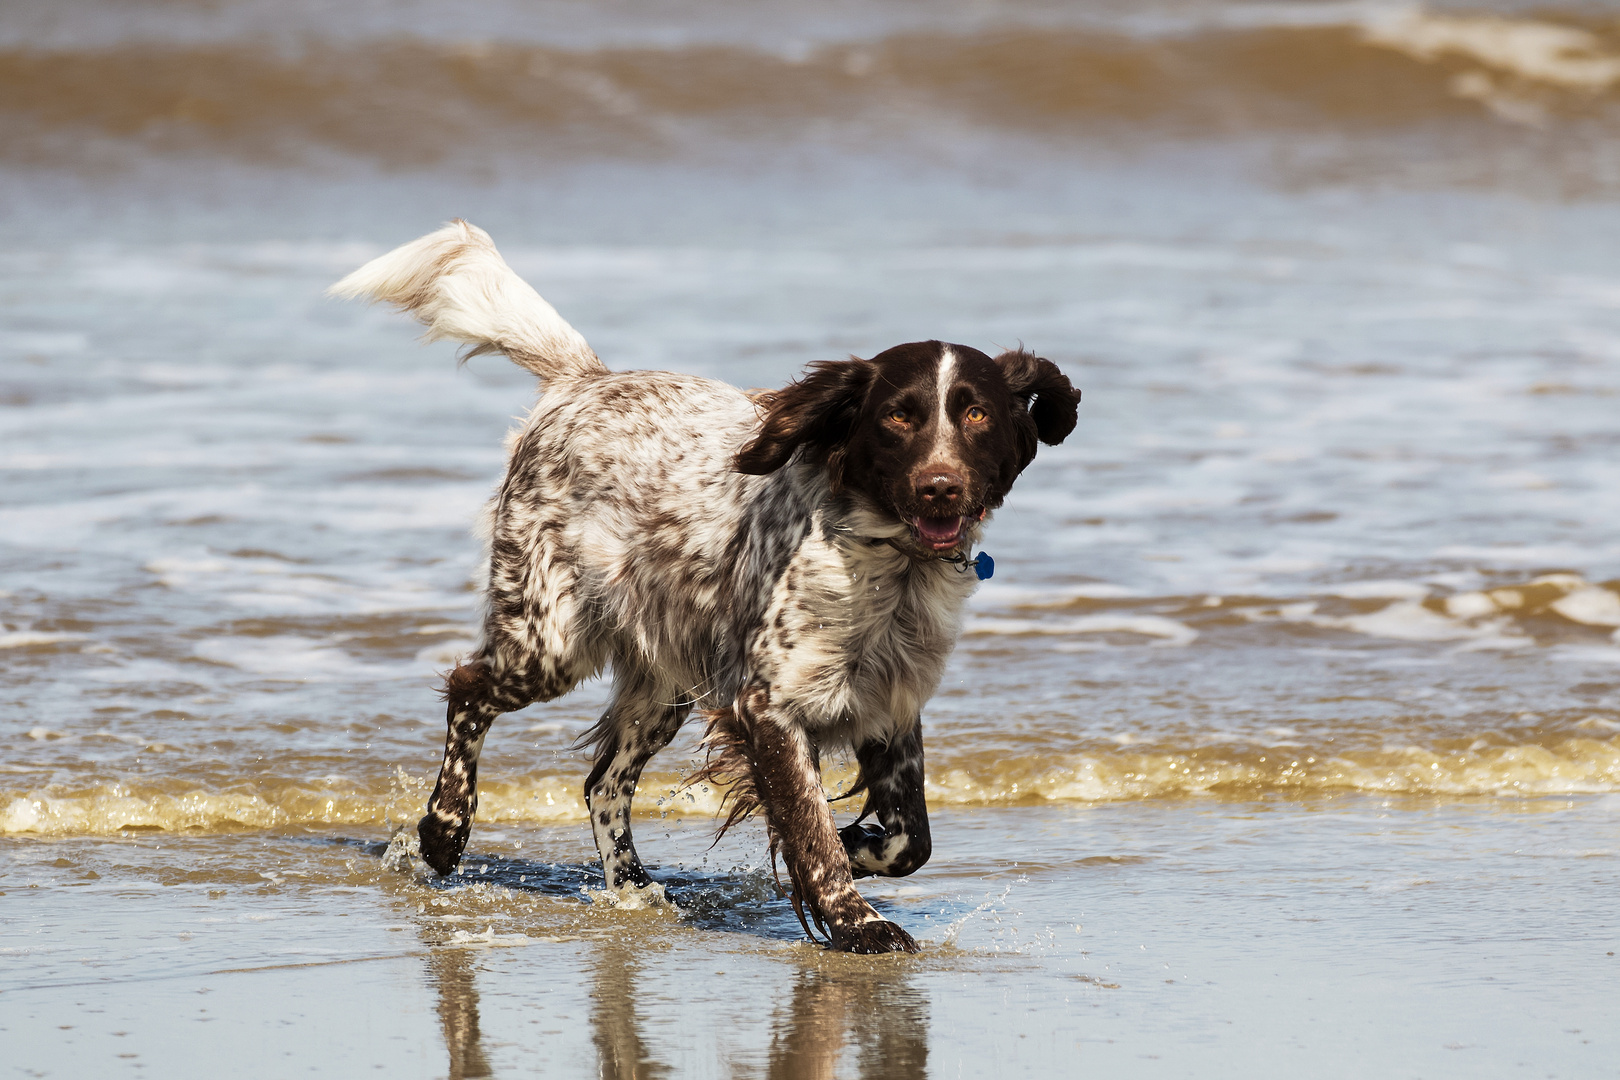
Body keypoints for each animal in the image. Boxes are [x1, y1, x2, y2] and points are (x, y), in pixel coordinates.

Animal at [327, 221, 1075, 952]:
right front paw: (856, 921)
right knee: (469, 689)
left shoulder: (888, 699)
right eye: (898, 416)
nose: (940, 486)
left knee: (603, 784)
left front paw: (856, 844)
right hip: (551, 644)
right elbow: (810, 826)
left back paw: (632, 889)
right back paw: (445, 829)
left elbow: (908, 839)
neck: (887, 563)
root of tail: (582, 382)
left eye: (976, 415)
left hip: (664, 683)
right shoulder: (768, 705)